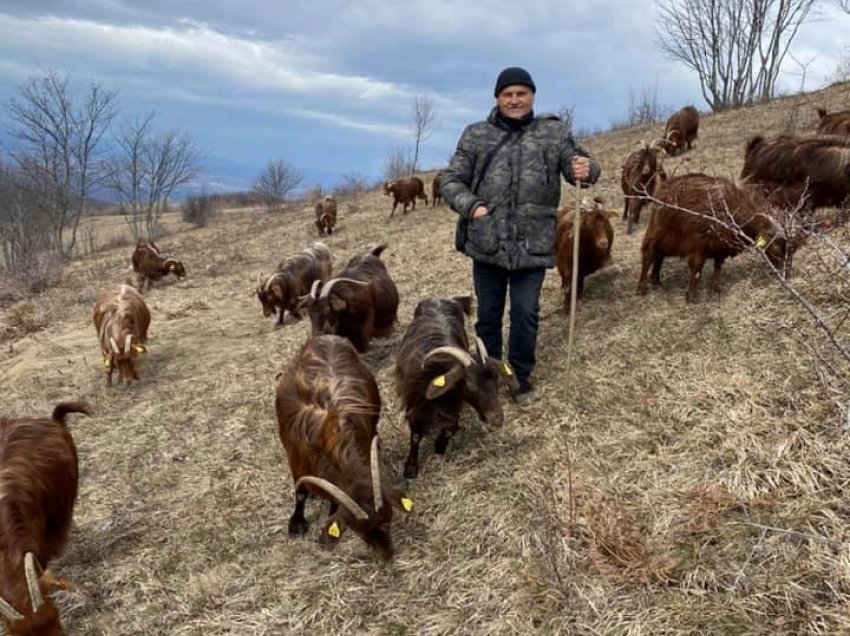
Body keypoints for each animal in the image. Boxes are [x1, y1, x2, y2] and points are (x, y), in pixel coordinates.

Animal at [274, 336, 410, 560]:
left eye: (388, 520)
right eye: (359, 531)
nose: (387, 555)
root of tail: (328, 337)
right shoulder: (296, 460)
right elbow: (300, 492)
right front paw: (296, 523)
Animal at [392, 296, 516, 480]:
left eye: (496, 381)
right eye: (469, 384)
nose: (498, 419)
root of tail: (442, 298)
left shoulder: (454, 406)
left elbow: (450, 428)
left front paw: (439, 447)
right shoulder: (415, 405)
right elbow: (415, 436)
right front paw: (410, 469)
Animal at [636, 174, 796, 304]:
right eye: (777, 247)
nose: (787, 275)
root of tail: (663, 191)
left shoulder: (720, 247)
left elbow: (718, 267)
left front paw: (715, 289)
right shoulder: (698, 245)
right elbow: (696, 270)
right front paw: (692, 297)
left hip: (668, 240)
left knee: (659, 255)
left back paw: (655, 280)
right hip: (660, 232)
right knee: (649, 253)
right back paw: (642, 288)